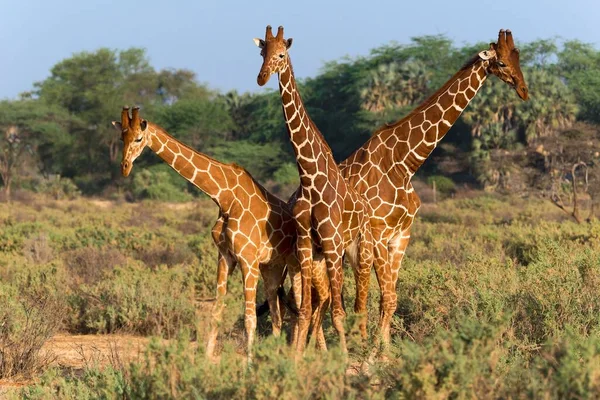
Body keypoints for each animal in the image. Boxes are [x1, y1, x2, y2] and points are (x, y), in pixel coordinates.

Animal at [112, 106, 328, 360]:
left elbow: (249, 318)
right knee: (279, 314)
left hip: (298, 265)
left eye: (138, 138)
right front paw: (206, 360)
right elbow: (216, 313)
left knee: (307, 305)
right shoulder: (225, 257)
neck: (224, 198)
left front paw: (249, 364)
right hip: (273, 269)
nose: (124, 168)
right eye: (121, 138)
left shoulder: (248, 260)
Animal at [254, 25, 376, 354]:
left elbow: (338, 312)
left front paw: (343, 360)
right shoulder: (308, 246)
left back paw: (365, 352)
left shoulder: (333, 244)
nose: (261, 77)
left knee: (359, 303)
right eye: (262, 53)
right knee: (322, 301)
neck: (309, 177)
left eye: (281, 55)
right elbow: (306, 309)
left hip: (357, 249)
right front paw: (297, 359)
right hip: (325, 256)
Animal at [340, 28, 528, 346]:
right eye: (501, 62)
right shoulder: (377, 233)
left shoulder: (402, 235)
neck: (404, 164)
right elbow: (383, 296)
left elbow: (390, 299)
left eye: (518, 58)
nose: (524, 91)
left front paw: (384, 350)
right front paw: (372, 353)